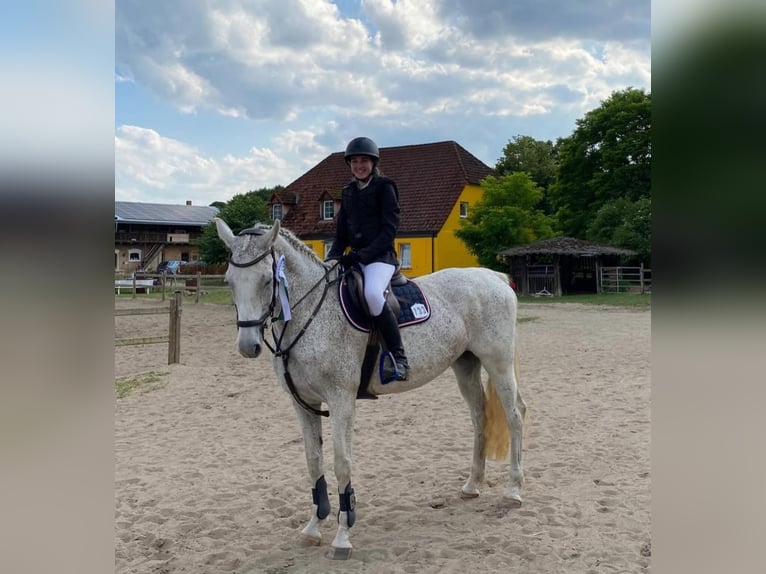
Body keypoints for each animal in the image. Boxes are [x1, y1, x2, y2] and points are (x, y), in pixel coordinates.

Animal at [215, 217, 526, 559]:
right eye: (229, 281)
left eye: (266, 281)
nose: (248, 346)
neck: (311, 314)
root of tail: (493, 276)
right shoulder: (303, 403)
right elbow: (313, 461)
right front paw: (313, 527)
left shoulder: (341, 399)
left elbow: (341, 463)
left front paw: (342, 536)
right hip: (466, 365)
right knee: (480, 418)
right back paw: (472, 485)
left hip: (498, 362)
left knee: (515, 415)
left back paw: (513, 490)